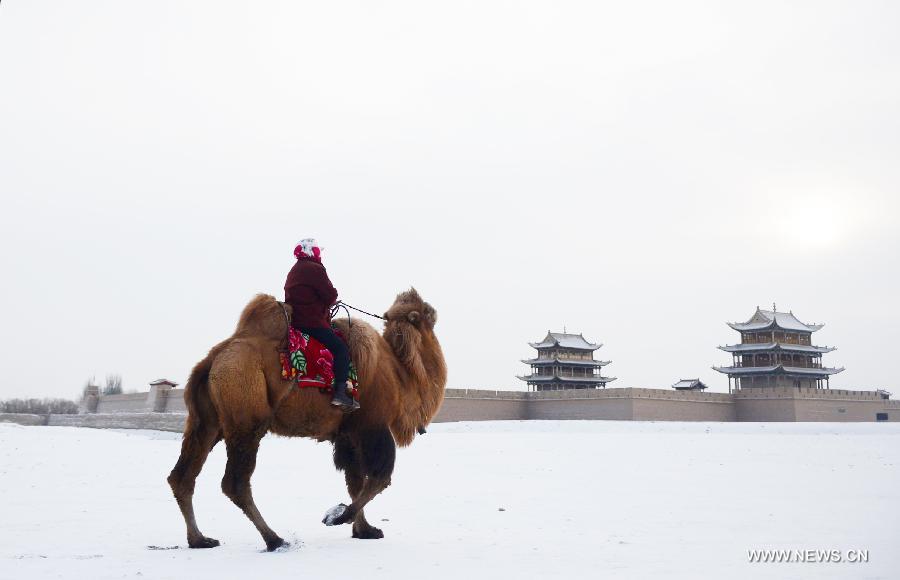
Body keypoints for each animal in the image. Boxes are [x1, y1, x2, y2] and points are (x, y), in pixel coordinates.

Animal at [165, 288, 446, 552]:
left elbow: (354, 481)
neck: (400, 373)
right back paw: (274, 539)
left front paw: (364, 530)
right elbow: (379, 478)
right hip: (246, 420)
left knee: (182, 476)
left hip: (207, 423)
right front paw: (339, 516)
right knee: (234, 483)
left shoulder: (347, 434)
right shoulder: (372, 425)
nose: (435, 310)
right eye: (424, 312)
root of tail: (213, 360)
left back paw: (200, 539)